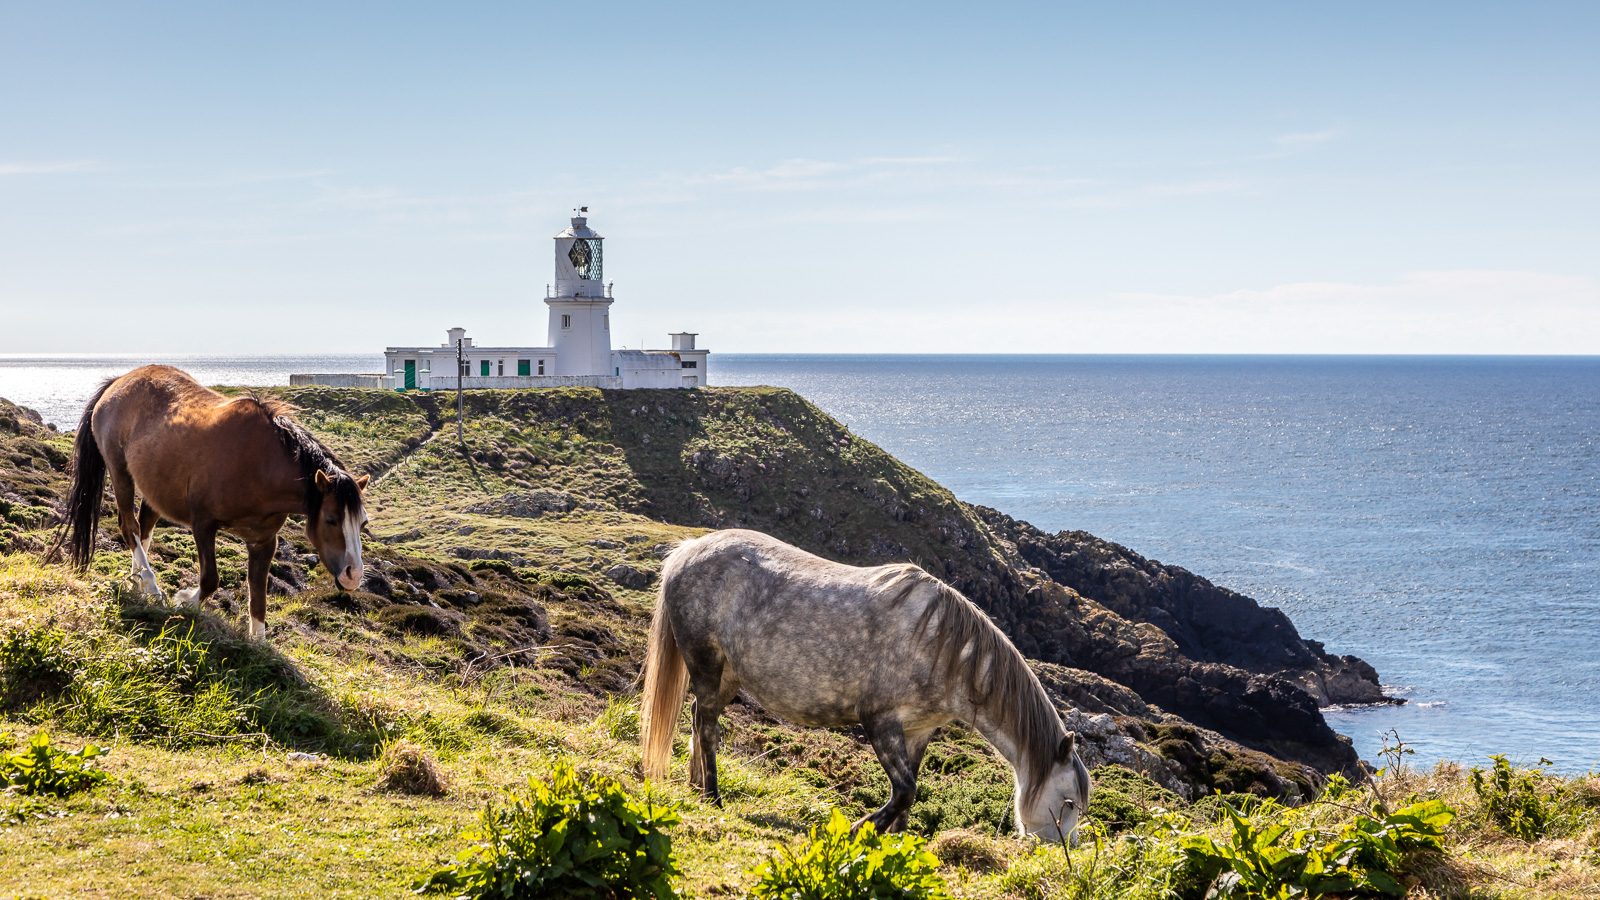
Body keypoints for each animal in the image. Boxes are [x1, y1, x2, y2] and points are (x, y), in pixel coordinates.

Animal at [49, 365, 368, 637]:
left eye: (362, 524)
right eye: (331, 519)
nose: (353, 575)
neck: (260, 465)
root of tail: (117, 382)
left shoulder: (264, 542)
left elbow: (258, 597)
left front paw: (258, 643)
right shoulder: (203, 524)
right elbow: (210, 580)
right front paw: (183, 601)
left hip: (155, 489)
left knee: (144, 527)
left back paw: (138, 581)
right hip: (120, 473)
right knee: (129, 527)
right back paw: (151, 586)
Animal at [636, 528, 1088, 839]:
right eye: (1067, 802)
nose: (1060, 853)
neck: (942, 647)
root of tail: (685, 552)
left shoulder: (918, 732)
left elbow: (908, 797)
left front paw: (897, 843)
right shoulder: (880, 721)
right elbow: (904, 791)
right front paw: (859, 829)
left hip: (728, 675)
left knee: (699, 717)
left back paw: (696, 785)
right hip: (706, 666)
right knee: (707, 726)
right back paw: (713, 795)